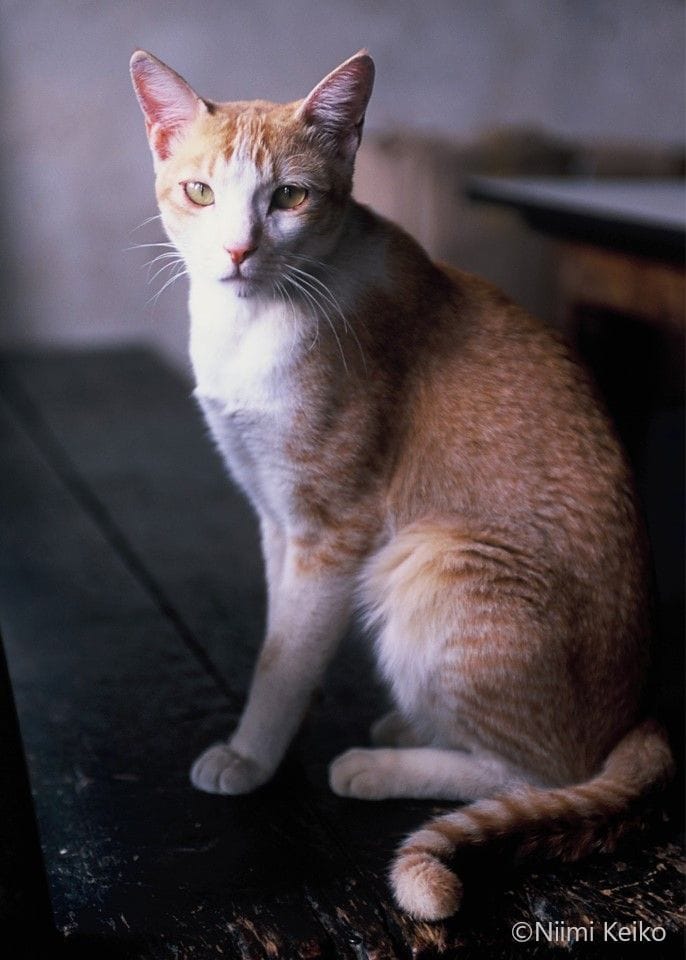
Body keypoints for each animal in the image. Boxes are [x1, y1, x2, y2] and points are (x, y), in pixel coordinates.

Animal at [130, 49, 674, 920]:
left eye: (290, 197)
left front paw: (252, 753)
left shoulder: (333, 528)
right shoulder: (276, 517)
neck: (252, 322)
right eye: (201, 192)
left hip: (430, 559)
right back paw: (408, 729)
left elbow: (282, 660)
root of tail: (640, 713)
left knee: (535, 776)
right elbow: (285, 640)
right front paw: (279, 725)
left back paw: (379, 765)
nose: (238, 251)